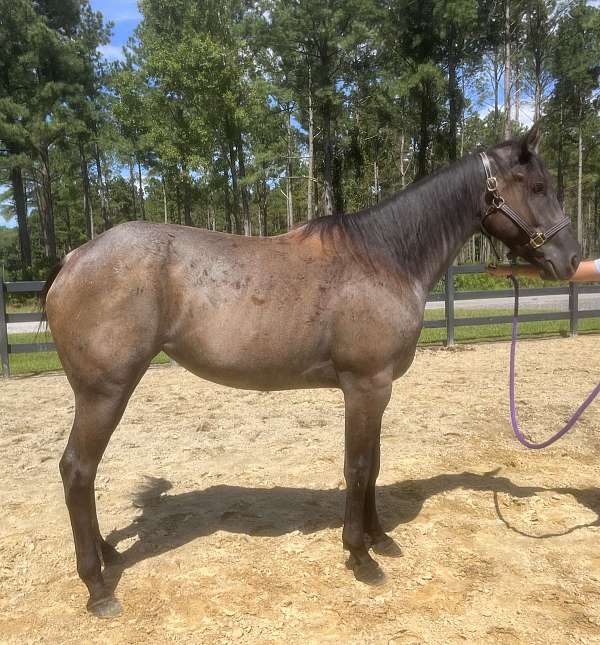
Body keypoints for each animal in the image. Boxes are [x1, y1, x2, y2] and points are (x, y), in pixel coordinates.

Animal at [44, 124, 580, 612]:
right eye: (537, 187)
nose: (572, 258)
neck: (384, 258)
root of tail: (75, 258)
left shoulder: (377, 389)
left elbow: (374, 465)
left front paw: (380, 538)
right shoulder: (365, 386)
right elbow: (358, 466)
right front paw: (361, 556)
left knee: (84, 475)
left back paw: (108, 554)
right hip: (105, 393)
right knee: (77, 470)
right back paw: (97, 586)